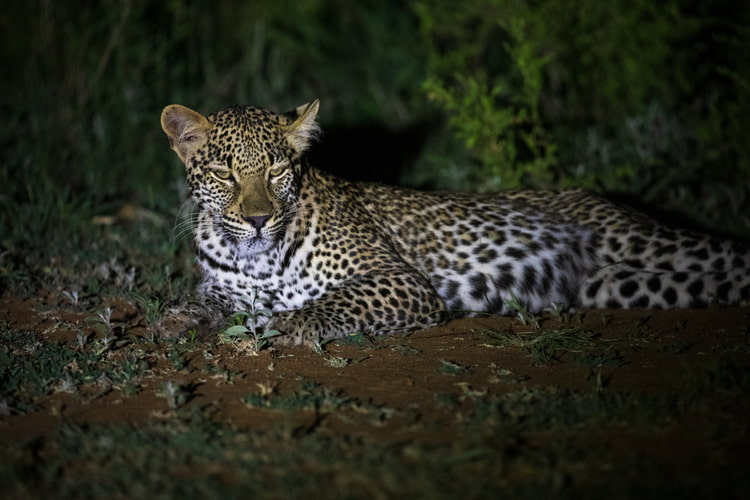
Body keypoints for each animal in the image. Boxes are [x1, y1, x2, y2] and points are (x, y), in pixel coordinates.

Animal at [158, 99, 750, 345]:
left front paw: (294, 324)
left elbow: (336, 299)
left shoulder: (400, 280)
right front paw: (177, 320)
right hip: (621, 285)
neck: (254, 258)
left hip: (643, 242)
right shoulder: (227, 288)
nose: (259, 220)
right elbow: (204, 301)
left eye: (277, 170)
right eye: (223, 173)